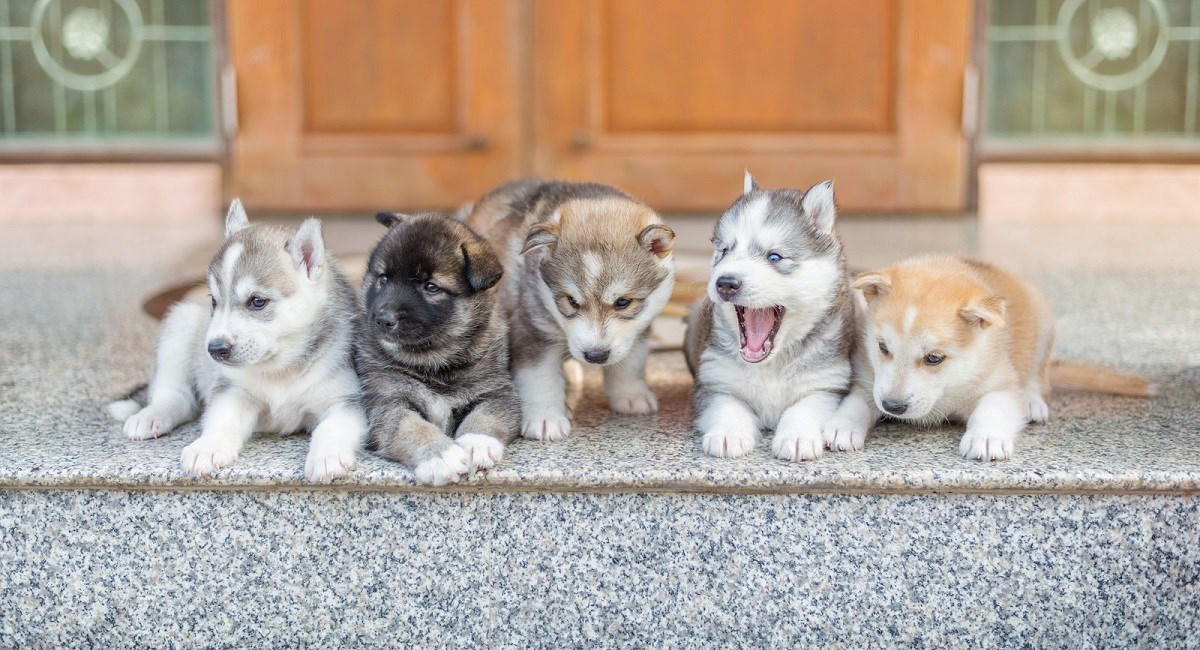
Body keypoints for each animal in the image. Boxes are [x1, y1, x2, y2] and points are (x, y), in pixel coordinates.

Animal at [108, 200, 369, 484]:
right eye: (214, 301)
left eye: (257, 301)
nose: (215, 349)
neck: (281, 371)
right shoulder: (233, 391)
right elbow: (222, 420)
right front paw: (207, 447)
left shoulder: (347, 402)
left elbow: (332, 428)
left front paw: (327, 456)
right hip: (180, 323)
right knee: (175, 395)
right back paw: (151, 416)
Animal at [352, 211, 518, 486]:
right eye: (383, 278)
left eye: (431, 287)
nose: (383, 319)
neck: (433, 361)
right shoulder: (388, 401)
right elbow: (411, 427)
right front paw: (439, 456)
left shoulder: (497, 390)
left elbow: (487, 414)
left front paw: (477, 443)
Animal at [465, 178, 676, 443]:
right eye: (571, 302)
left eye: (623, 302)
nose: (595, 356)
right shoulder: (532, 330)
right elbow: (540, 378)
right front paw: (545, 419)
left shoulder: (637, 331)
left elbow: (630, 363)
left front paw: (631, 396)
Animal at [686, 172, 854, 462]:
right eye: (725, 252)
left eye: (774, 257)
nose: (725, 283)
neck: (771, 365)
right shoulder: (713, 380)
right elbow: (727, 405)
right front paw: (729, 434)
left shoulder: (828, 385)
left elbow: (804, 407)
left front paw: (797, 436)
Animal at [820, 254, 1147, 462]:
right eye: (883, 348)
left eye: (934, 358)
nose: (893, 407)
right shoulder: (869, 381)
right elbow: (858, 402)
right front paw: (841, 426)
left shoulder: (1000, 385)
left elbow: (992, 409)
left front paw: (986, 438)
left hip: (1044, 329)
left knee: (1037, 378)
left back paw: (1032, 401)